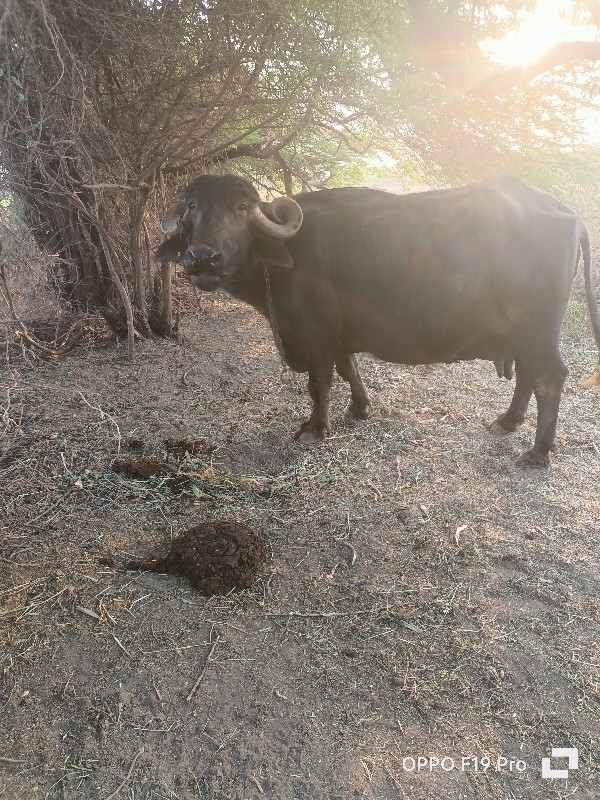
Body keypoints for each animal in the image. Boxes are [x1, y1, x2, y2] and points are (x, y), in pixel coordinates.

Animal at [156, 172, 600, 466]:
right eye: (193, 206)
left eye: (241, 207)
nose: (202, 259)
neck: (287, 258)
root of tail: (568, 213)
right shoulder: (339, 333)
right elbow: (349, 368)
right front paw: (359, 408)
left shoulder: (316, 335)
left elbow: (320, 382)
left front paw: (315, 428)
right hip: (521, 332)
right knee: (527, 374)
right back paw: (508, 422)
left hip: (537, 330)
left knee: (548, 378)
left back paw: (538, 452)